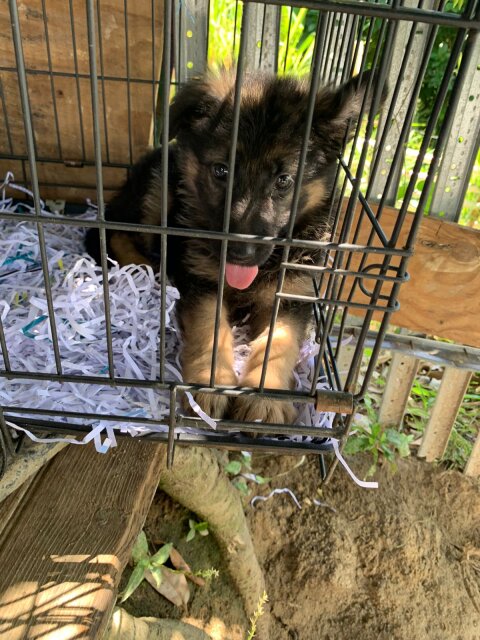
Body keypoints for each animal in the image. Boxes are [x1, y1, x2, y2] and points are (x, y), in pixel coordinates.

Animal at [85, 70, 382, 424]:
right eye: (221, 171)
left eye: (284, 180)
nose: (241, 253)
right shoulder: (202, 281)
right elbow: (209, 329)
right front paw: (209, 387)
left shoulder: (291, 294)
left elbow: (280, 340)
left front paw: (265, 399)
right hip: (157, 189)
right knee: (111, 234)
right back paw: (152, 268)